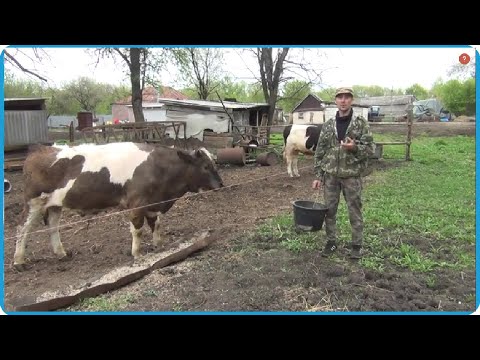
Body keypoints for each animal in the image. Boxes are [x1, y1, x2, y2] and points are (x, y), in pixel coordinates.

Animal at [14, 142, 224, 268]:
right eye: (205, 166)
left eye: (214, 163)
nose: (220, 184)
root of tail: (38, 151)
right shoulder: (136, 203)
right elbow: (138, 230)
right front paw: (137, 254)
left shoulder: (153, 203)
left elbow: (156, 224)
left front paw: (159, 245)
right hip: (33, 202)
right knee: (22, 228)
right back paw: (19, 260)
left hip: (55, 204)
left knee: (52, 227)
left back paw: (61, 253)